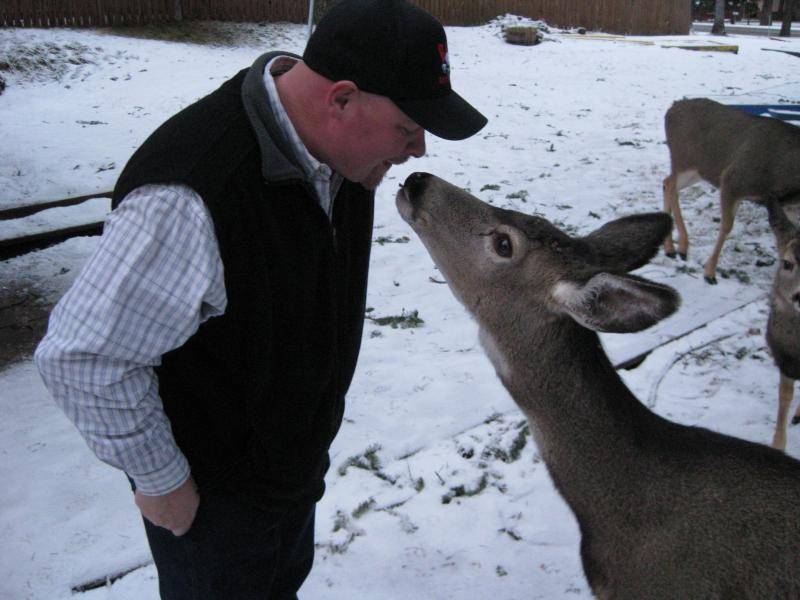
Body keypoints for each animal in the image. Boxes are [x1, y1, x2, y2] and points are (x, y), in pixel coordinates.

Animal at [664, 97, 800, 284]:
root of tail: (671, 110)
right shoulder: (732, 181)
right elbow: (727, 226)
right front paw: (709, 273)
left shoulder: (789, 206)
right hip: (685, 160)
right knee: (671, 186)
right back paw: (681, 247)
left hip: (699, 170)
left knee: (666, 182)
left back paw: (669, 247)